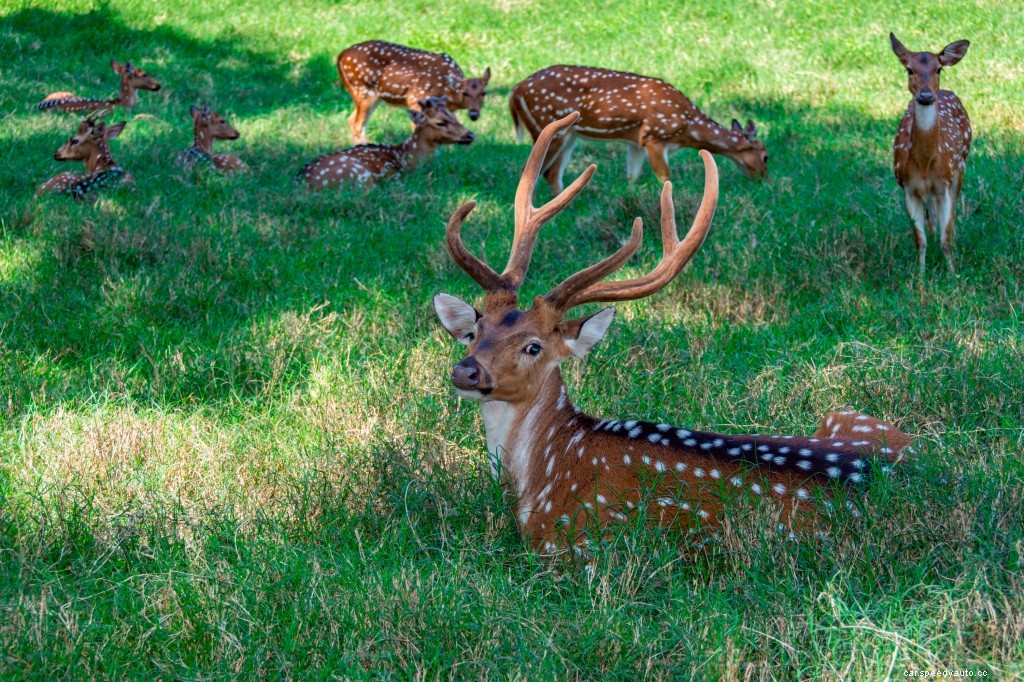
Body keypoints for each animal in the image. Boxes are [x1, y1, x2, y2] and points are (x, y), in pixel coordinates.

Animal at [296, 96, 474, 189]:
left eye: (454, 117)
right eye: (440, 122)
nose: (470, 134)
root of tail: (301, 183)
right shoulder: (395, 177)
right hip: (359, 175)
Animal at [337, 40, 491, 144]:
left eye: (484, 93)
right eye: (464, 93)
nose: (474, 114)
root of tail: (341, 56)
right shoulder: (415, 98)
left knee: (351, 120)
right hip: (363, 90)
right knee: (358, 124)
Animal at [433, 113, 912, 557]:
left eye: (533, 346)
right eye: (474, 331)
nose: (466, 371)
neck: (544, 474)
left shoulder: (575, 545)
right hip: (846, 414)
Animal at [509, 65, 767, 194]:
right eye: (766, 156)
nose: (764, 181)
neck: (687, 127)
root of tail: (515, 90)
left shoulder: (636, 143)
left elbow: (632, 176)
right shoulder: (654, 136)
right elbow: (665, 178)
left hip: (570, 136)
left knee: (552, 174)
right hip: (547, 124)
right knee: (529, 171)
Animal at [890, 33, 971, 275]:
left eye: (939, 69)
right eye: (909, 69)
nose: (926, 96)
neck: (925, 164)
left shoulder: (944, 184)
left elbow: (946, 234)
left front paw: (953, 274)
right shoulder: (908, 188)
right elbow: (920, 239)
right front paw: (920, 276)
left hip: (960, 167)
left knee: (949, 214)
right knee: (932, 219)